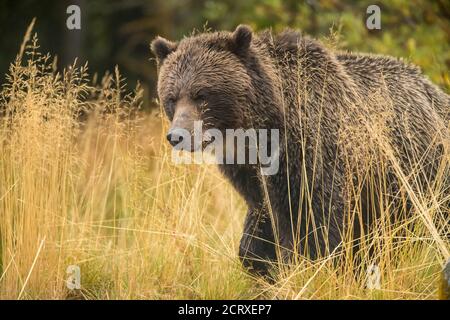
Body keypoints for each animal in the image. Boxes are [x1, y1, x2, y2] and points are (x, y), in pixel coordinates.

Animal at [152, 25, 450, 276]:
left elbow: (318, 223)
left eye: (201, 94)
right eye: (172, 97)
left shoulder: (312, 152)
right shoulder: (250, 173)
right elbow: (262, 217)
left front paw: (309, 266)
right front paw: (260, 263)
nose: (177, 136)